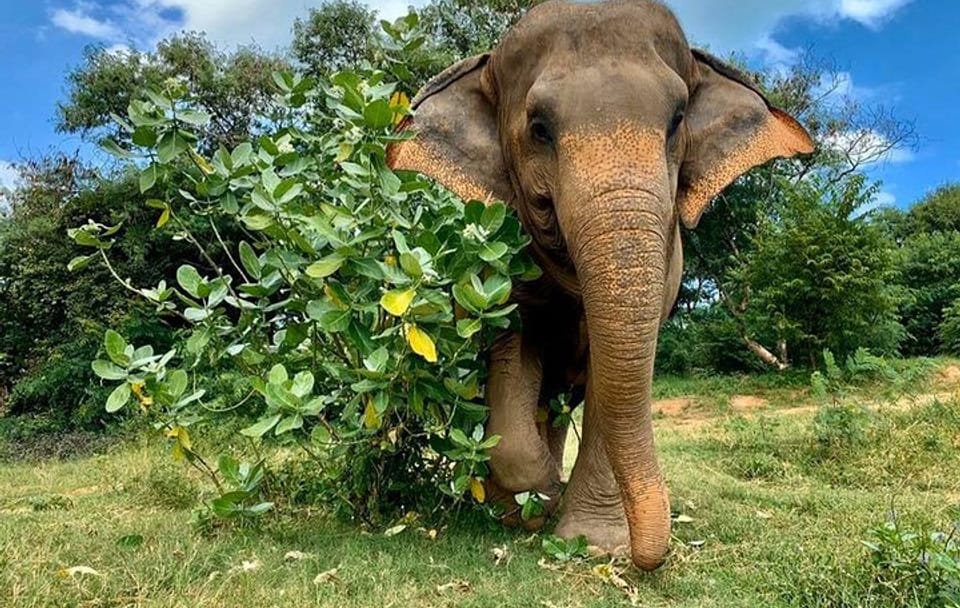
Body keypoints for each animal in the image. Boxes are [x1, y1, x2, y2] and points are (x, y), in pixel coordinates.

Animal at [387, 0, 814, 570]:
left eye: (678, 120)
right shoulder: (500, 258)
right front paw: (538, 497)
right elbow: (513, 348)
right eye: (539, 128)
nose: (648, 559)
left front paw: (592, 541)